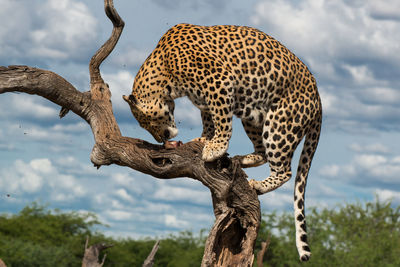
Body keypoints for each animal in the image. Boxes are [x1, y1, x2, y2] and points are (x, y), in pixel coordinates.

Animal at [122, 23, 322, 262]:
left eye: (146, 123)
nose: (162, 139)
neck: (164, 71)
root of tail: (319, 100)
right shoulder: (204, 97)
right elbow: (210, 119)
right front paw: (205, 139)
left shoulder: (218, 81)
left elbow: (221, 119)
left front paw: (215, 148)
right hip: (253, 116)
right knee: (262, 152)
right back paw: (243, 160)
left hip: (279, 125)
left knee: (285, 170)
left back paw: (258, 184)